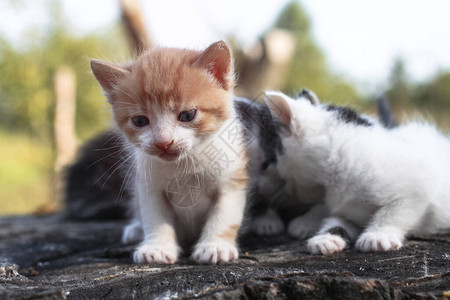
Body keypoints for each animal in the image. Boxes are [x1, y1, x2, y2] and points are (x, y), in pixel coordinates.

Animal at [89, 41, 248, 264]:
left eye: (188, 115)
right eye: (140, 121)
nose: (163, 142)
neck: (185, 164)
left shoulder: (231, 181)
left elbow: (223, 217)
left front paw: (215, 246)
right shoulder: (149, 186)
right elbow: (156, 219)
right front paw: (157, 248)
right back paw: (135, 229)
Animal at [266, 90, 450, 254]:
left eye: (278, 156)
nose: (289, 190)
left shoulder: (420, 184)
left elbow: (395, 212)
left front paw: (378, 236)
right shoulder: (344, 208)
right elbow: (335, 222)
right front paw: (326, 238)